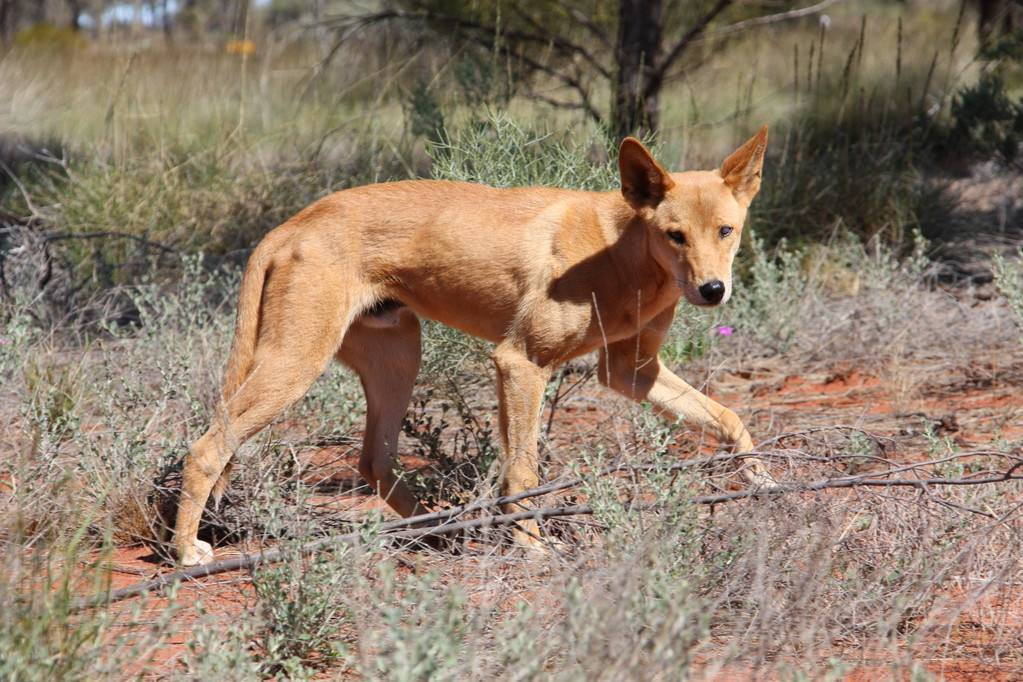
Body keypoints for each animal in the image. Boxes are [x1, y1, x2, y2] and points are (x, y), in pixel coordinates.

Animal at [173, 126, 769, 564]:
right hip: (295, 364)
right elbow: (523, 469)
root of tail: (291, 224)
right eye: (675, 235)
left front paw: (761, 478)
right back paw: (184, 550)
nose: (713, 290)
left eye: (727, 230)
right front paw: (531, 547)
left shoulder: (631, 370)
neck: (623, 251)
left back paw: (442, 530)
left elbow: (729, 417)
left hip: (397, 361)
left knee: (374, 462)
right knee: (207, 447)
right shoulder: (520, 362)